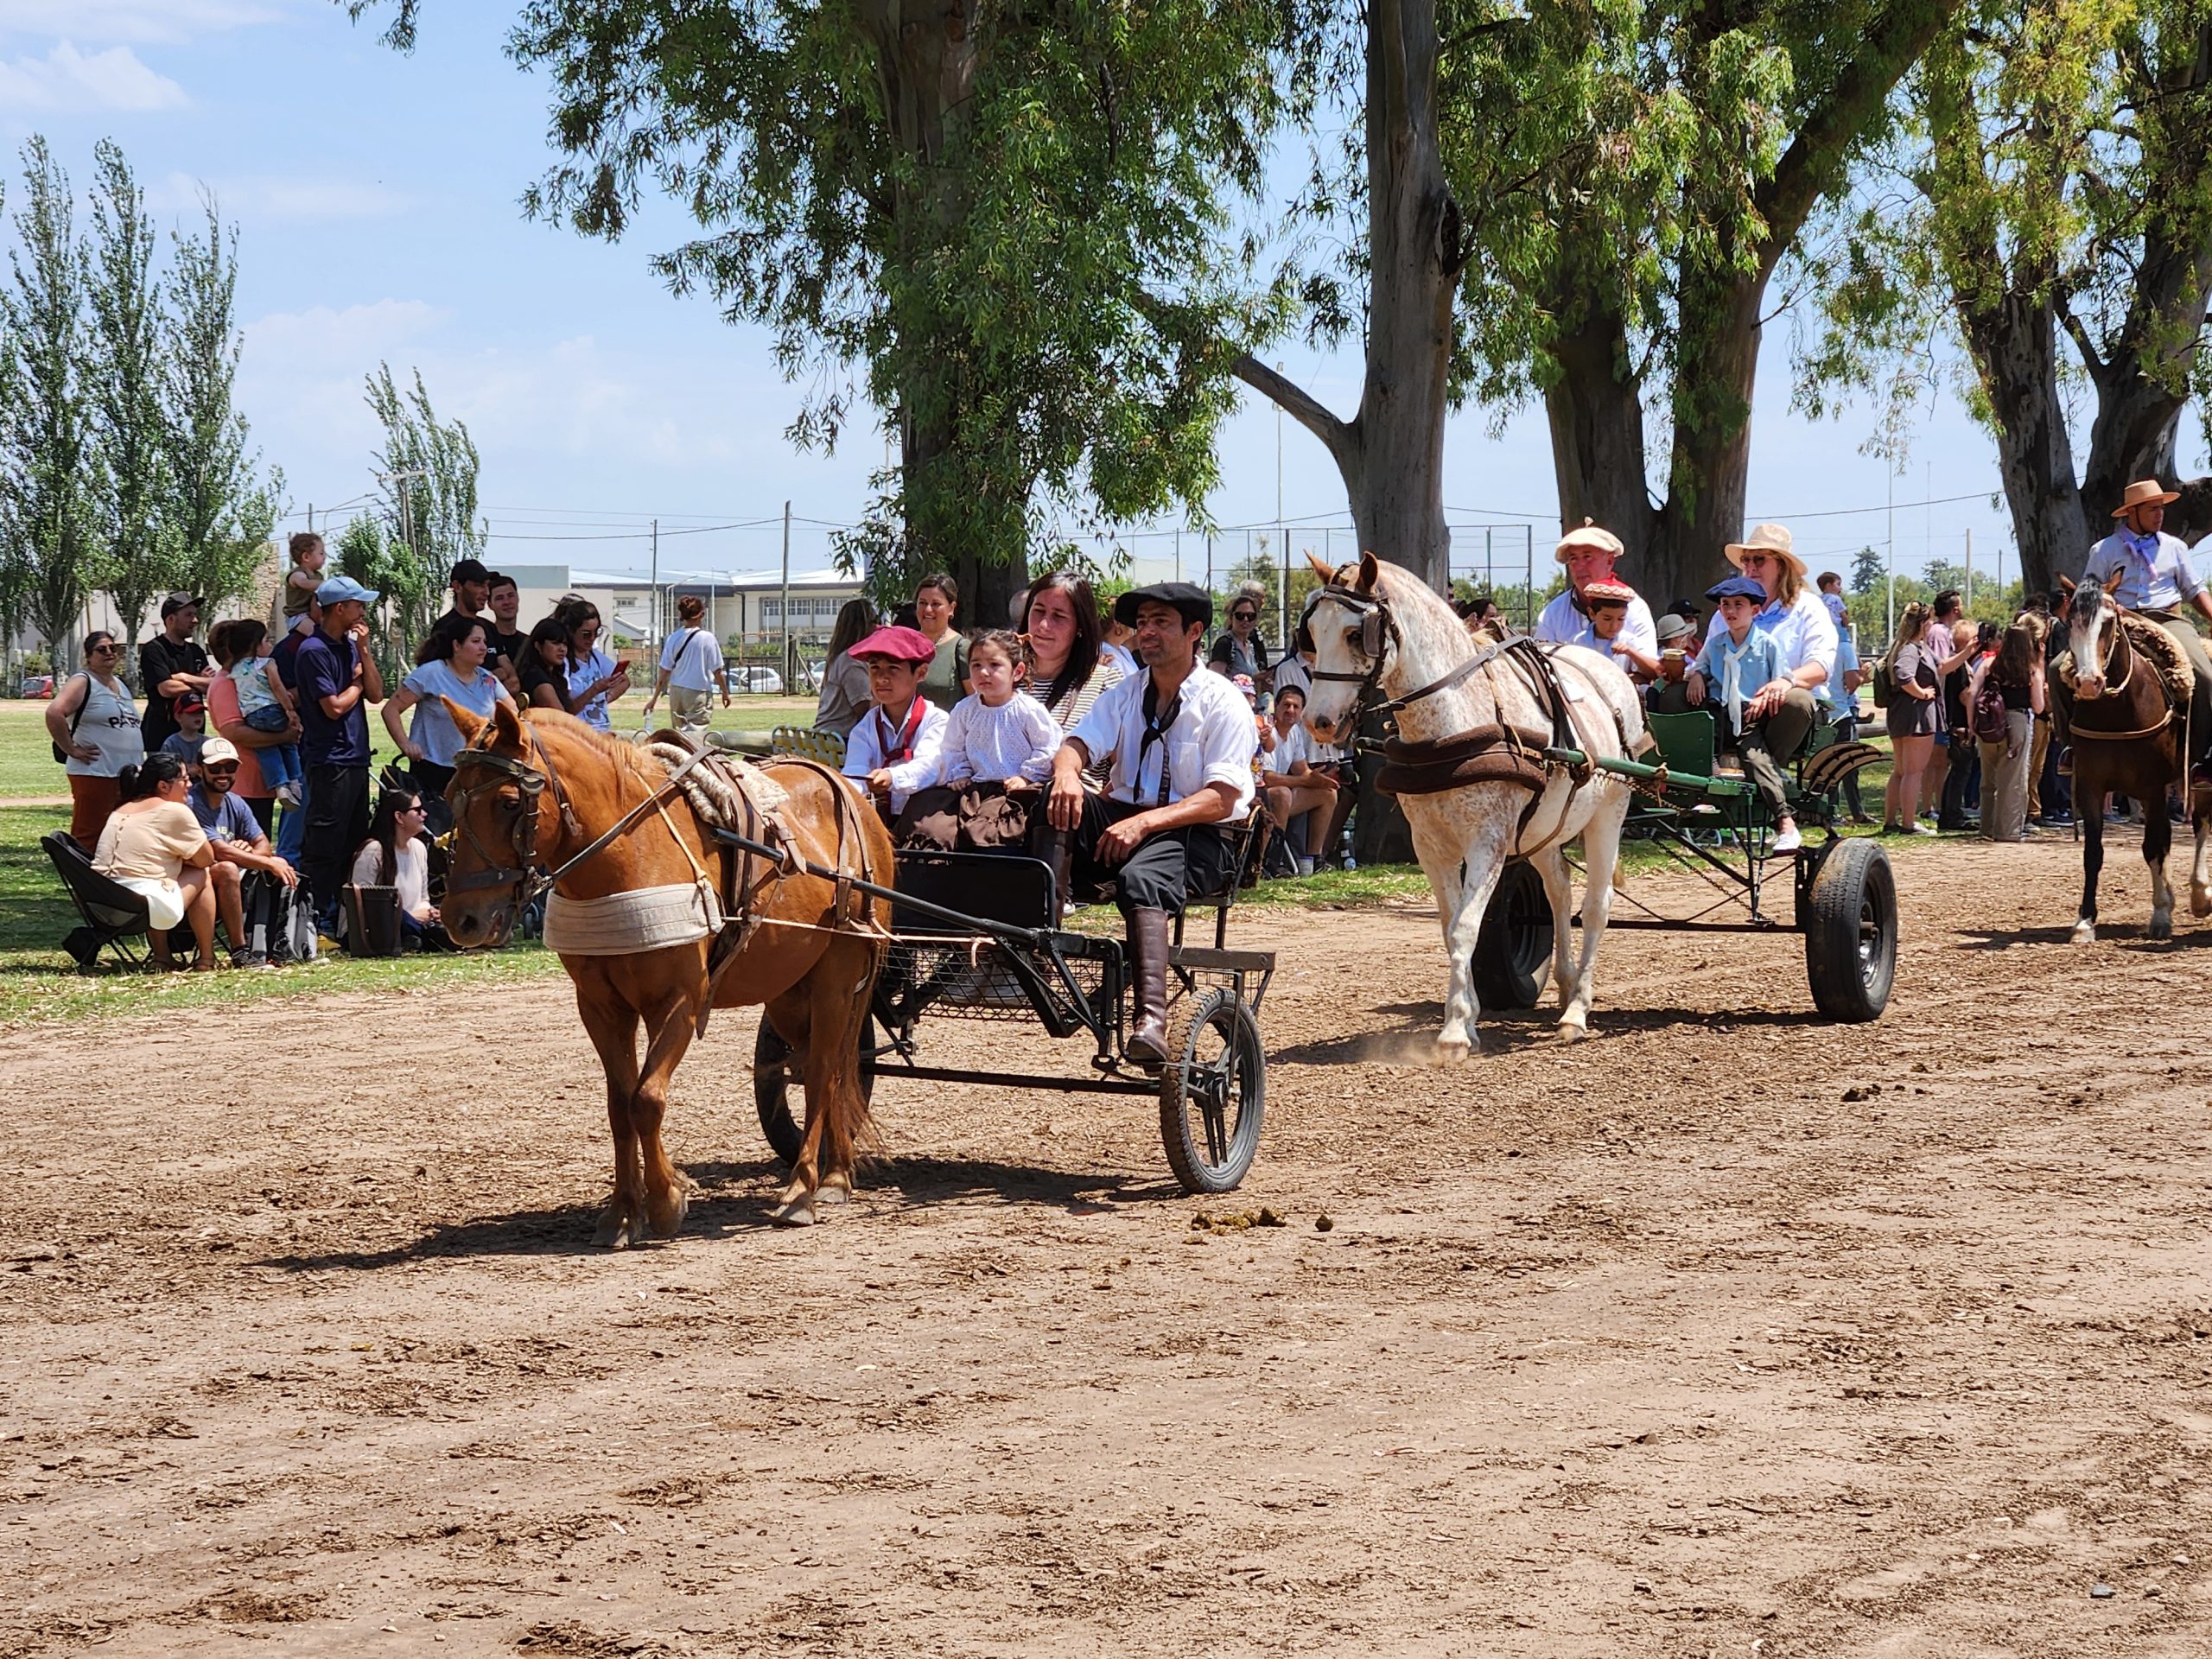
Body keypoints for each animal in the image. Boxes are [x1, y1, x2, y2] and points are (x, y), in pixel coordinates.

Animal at [438, 699, 893, 1238]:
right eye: (450, 796)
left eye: (508, 802)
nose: (462, 919)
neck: (629, 858)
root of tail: (853, 795)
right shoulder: (600, 1007)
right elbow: (619, 1105)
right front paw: (623, 1210)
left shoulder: (678, 1001)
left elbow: (647, 1099)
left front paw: (665, 1200)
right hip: (788, 991)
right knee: (833, 1070)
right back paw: (837, 1173)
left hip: (836, 979)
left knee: (824, 1072)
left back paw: (804, 1189)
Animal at [1297, 552, 1643, 1053]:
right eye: (1311, 632)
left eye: (1354, 634)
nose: (1317, 721)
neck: (1455, 720)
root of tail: (1611, 673)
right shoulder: (1430, 845)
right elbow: (1450, 928)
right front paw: (1470, 1015)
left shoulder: (1488, 842)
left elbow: (1465, 927)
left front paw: (1456, 1030)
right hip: (1544, 829)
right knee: (1559, 888)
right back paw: (1564, 983)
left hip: (1608, 816)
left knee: (1597, 905)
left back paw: (1578, 1008)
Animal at [2057, 574, 2212, 942]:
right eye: (2070, 621)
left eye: (2108, 622)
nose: (2089, 683)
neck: (2118, 710)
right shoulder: (2091, 787)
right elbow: (2094, 853)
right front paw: (2085, 921)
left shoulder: (2153, 788)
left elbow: (2154, 846)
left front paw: (2161, 915)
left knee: (2201, 824)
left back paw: (2200, 896)